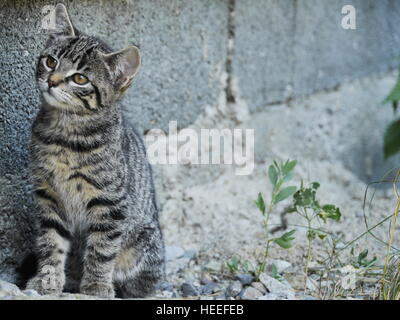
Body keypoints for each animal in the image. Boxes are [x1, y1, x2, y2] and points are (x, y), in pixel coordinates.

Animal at [24, 3, 165, 298]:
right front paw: (47, 279)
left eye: (80, 78)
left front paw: (96, 286)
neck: (65, 133)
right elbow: (50, 241)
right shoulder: (48, 194)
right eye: (51, 61)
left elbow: (102, 247)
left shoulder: (110, 202)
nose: (52, 81)